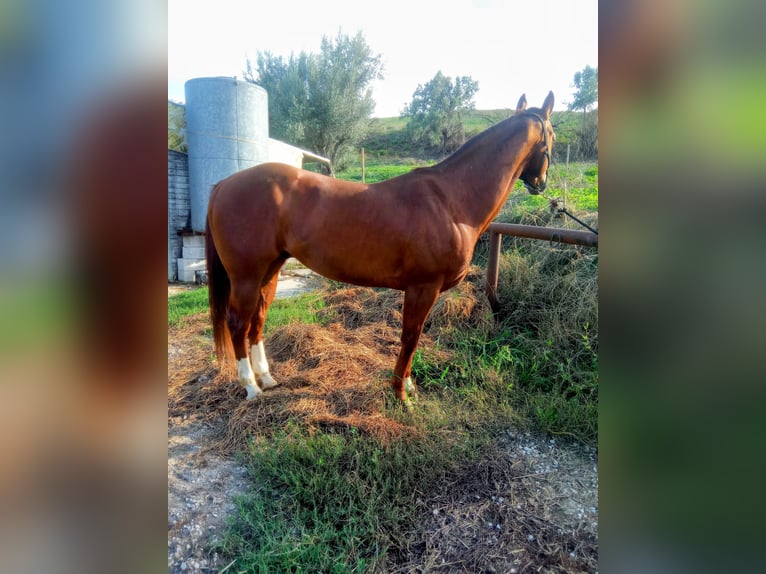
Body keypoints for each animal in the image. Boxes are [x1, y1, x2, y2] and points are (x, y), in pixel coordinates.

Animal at [205, 91, 555, 404]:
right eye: (552, 135)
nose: (540, 184)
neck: (450, 200)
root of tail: (224, 184)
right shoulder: (422, 287)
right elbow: (411, 336)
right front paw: (401, 393)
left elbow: (414, 337)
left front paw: (408, 386)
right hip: (246, 276)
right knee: (237, 323)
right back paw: (250, 387)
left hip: (270, 272)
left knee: (257, 321)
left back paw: (266, 379)